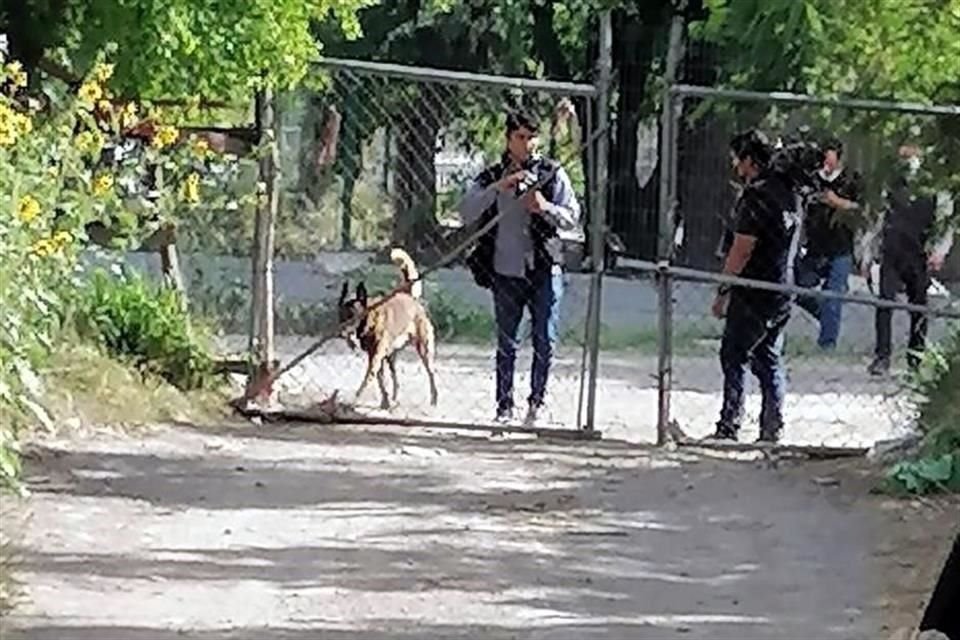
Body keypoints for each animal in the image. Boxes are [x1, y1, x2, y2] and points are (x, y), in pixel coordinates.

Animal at [338, 248, 438, 408]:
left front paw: (357, 398)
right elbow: (381, 380)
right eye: (340, 315)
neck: (370, 320)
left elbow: (369, 378)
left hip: (424, 350)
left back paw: (434, 400)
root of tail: (409, 296)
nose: (341, 333)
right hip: (391, 356)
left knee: (431, 373)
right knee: (395, 378)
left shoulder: (376, 356)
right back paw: (394, 398)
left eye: (353, 316)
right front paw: (385, 401)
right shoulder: (375, 356)